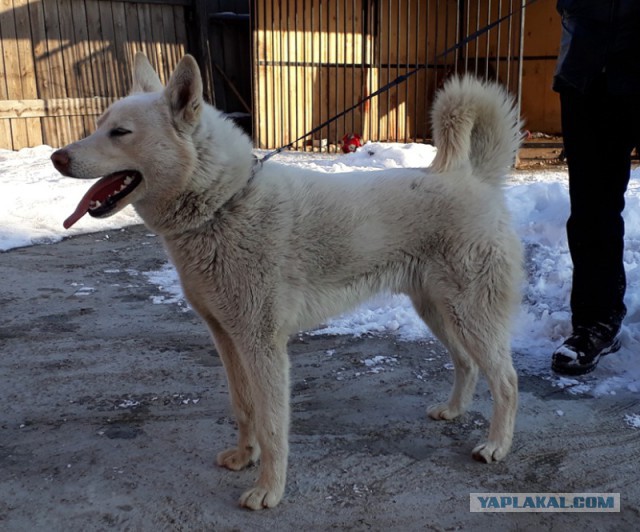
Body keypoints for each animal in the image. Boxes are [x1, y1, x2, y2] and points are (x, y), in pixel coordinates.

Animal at [52, 54, 524, 512]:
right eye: (100, 124)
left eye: (120, 132)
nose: (57, 157)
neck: (224, 205)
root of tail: (475, 179)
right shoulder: (227, 339)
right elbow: (243, 407)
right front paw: (244, 457)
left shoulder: (262, 346)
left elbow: (272, 424)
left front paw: (268, 491)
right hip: (439, 312)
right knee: (466, 364)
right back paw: (453, 411)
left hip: (470, 315)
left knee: (505, 380)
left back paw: (496, 446)